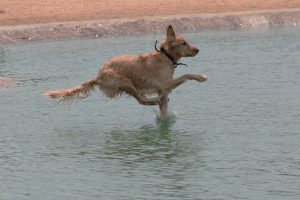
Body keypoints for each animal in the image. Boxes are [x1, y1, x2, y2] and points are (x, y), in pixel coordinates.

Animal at [44, 25, 207, 118]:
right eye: (183, 43)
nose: (198, 50)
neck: (165, 56)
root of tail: (98, 76)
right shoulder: (164, 85)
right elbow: (186, 75)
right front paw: (201, 77)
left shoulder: (164, 89)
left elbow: (164, 108)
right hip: (124, 81)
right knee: (141, 100)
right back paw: (155, 100)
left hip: (129, 86)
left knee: (142, 99)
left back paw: (156, 101)